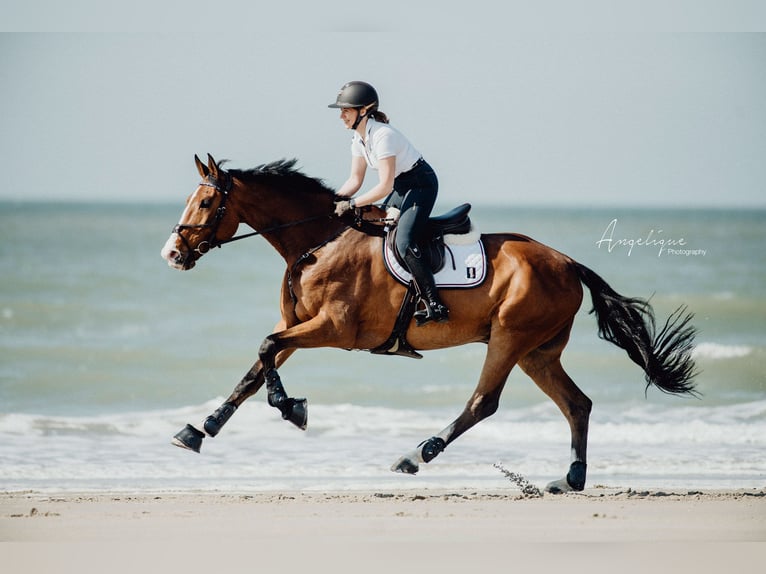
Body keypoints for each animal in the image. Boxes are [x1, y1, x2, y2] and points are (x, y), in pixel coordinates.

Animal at [162, 154, 704, 496]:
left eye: (206, 203)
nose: (172, 254)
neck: (318, 241)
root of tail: (569, 263)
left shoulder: (333, 330)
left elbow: (265, 349)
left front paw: (292, 408)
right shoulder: (299, 322)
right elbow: (257, 366)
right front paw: (201, 429)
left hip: (510, 338)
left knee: (483, 402)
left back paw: (416, 454)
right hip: (538, 353)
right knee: (577, 404)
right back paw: (569, 478)